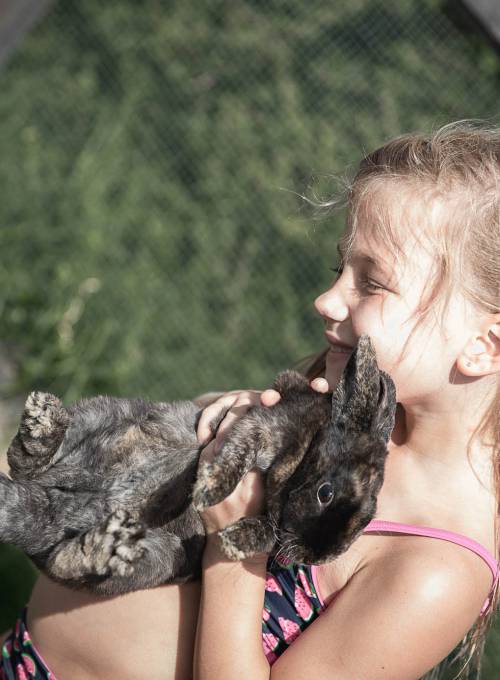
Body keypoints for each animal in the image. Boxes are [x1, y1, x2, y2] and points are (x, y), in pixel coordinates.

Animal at [0, 334, 396, 596]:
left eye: (366, 521)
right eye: (325, 493)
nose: (319, 557)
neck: (311, 442)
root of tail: (54, 503)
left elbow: (268, 531)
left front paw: (235, 541)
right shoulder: (263, 426)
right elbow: (236, 458)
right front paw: (208, 491)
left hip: (158, 559)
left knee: (64, 562)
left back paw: (103, 547)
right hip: (101, 414)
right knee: (24, 464)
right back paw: (42, 427)